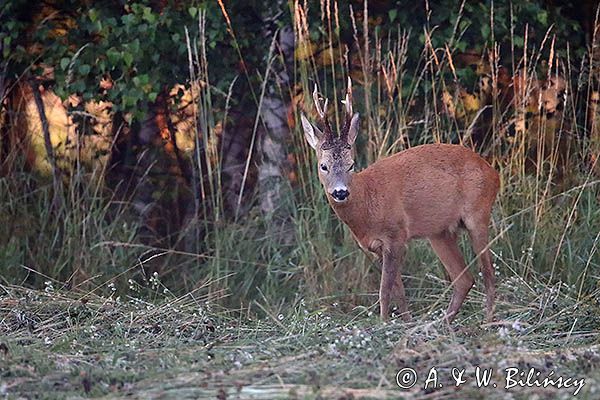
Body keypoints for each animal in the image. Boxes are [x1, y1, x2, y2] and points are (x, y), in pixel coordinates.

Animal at [300, 79, 502, 324]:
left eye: (351, 164)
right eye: (324, 166)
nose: (340, 192)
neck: (367, 203)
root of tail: (494, 173)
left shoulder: (396, 235)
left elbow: (384, 290)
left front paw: (383, 323)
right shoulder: (377, 246)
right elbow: (399, 291)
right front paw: (404, 322)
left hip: (478, 214)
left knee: (488, 274)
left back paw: (488, 322)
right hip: (440, 232)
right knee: (464, 279)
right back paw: (442, 324)